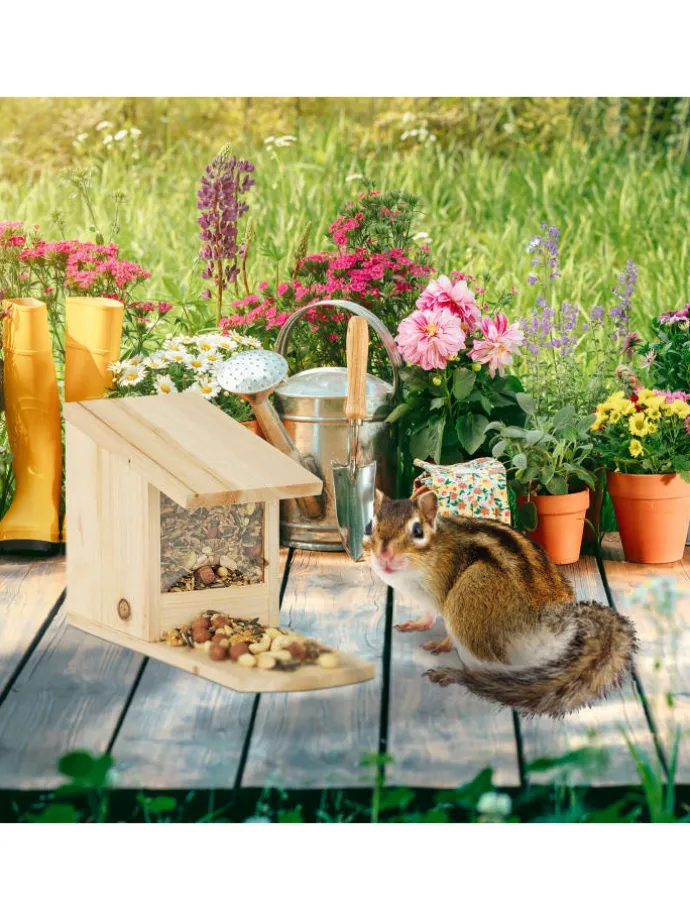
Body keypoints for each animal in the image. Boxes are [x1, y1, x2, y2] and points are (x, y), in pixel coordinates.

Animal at [365, 490, 638, 718]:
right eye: (370, 526)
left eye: (418, 531)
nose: (384, 554)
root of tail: (555, 624)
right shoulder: (427, 601)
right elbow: (428, 615)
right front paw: (416, 624)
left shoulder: (444, 594)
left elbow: (445, 628)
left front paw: (441, 644)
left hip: (468, 597)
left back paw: (454, 674)